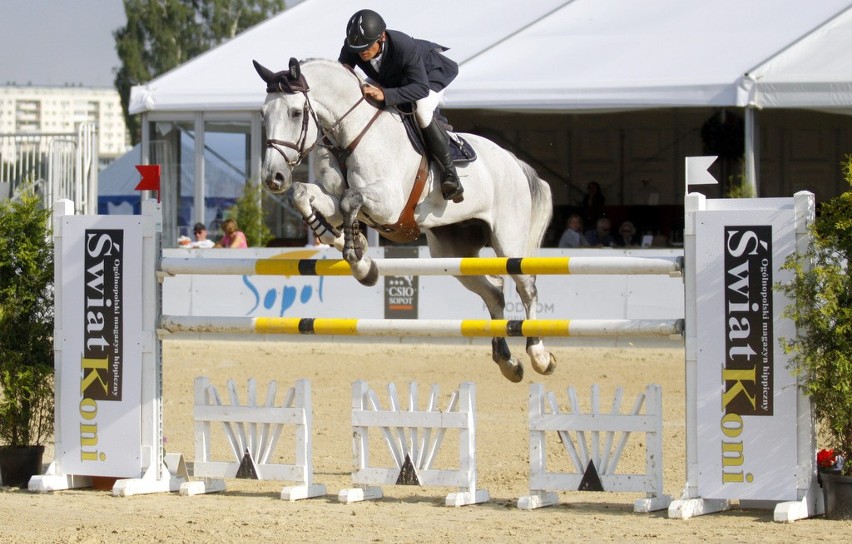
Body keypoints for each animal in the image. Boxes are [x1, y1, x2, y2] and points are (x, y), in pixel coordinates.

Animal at [251, 58, 560, 382]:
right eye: (263, 114)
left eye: (296, 112)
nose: (273, 177)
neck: (350, 134)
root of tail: (514, 161)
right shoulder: (333, 198)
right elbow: (302, 194)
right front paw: (346, 246)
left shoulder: (389, 205)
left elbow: (351, 199)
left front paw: (359, 261)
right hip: (452, 252)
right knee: (494, 292)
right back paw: (507, 362)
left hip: (508, 239)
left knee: (526, 286)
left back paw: (540, 356)